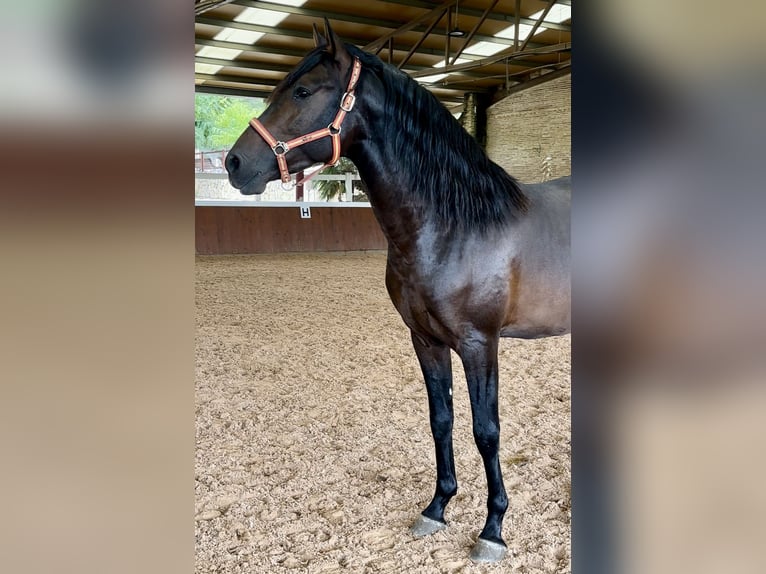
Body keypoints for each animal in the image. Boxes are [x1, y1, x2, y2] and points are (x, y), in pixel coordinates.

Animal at [224, 20, 568, 564]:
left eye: (303, 91)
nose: (234, 163)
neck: (454, 224)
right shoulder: (425, 340)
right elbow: (441, 420)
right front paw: (437, 508)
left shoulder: (480, 344)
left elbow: (486, 431)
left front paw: (493, 529)